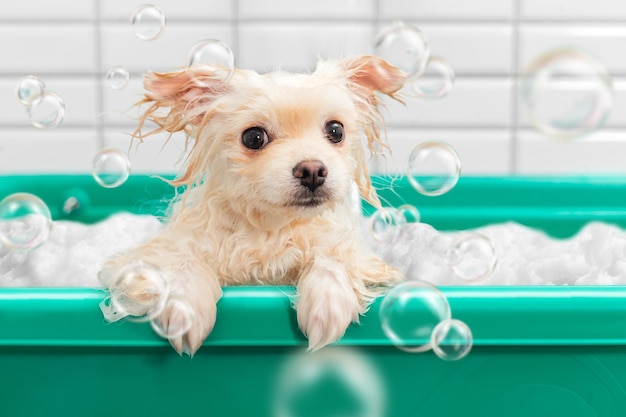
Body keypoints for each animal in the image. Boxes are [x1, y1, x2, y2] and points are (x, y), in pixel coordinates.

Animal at [98, 54, 404, 354]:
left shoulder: (356, 254)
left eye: (336, 131)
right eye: (254, 137)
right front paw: (186, 303)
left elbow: (335, 254)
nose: (312, 171)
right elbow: (179, 258)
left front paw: (329, 300)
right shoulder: (149, 255)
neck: (268, 227)